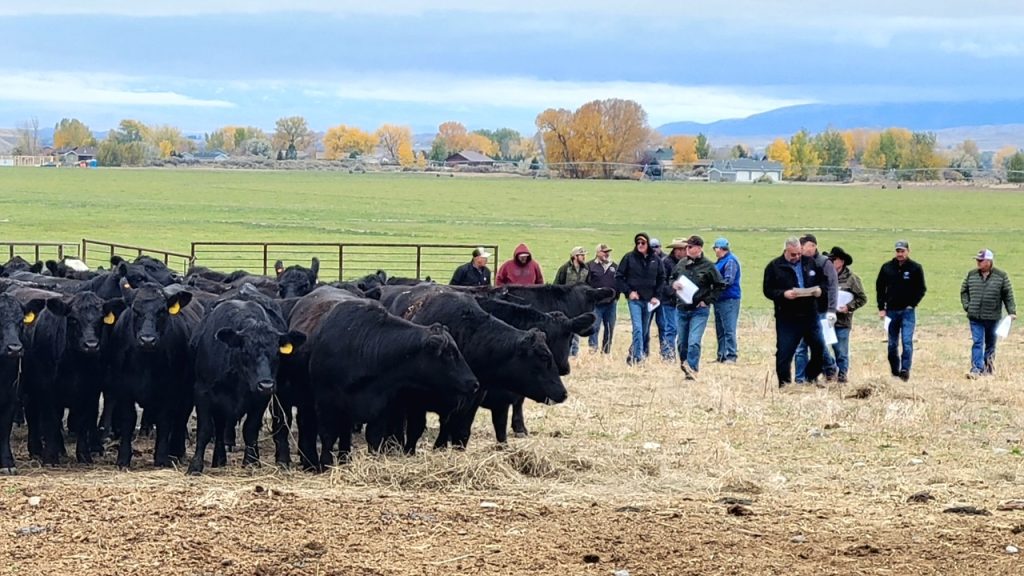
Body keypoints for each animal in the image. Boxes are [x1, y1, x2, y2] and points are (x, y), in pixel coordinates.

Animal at [108, 283, 202, 468]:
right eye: (135, 310)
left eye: (162, 311)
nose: (147, 340)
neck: (145, 362)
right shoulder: (123, 390)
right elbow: (128, 420)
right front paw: (123, 458)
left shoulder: (169, 390)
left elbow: (165, 421)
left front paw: (161, 458)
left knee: (181, 418)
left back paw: (177, 451)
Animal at [186, 298, 305, 474]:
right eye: (246, 351)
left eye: (277, 353)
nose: (266, 384)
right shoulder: (202, 393)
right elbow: (205, 430)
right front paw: (195, 466)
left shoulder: (260, 399)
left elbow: (250, 429)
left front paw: (250, 462)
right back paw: (219, 459)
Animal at [307, 293, 478, 466]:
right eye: (449, 353)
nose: (474, 383)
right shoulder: (326, 403)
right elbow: (328, 436)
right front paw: (326, 464)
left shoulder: (381, 408)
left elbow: (373, 439)